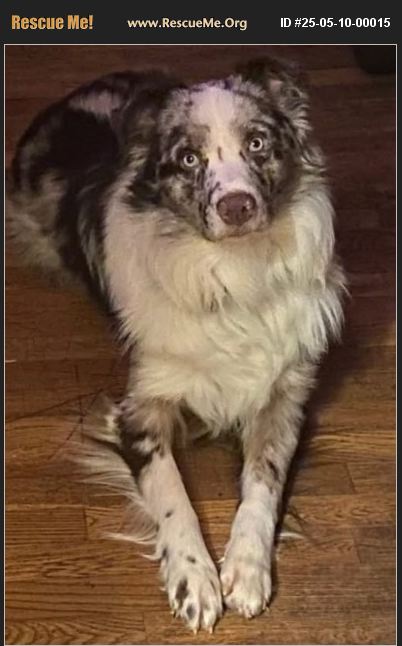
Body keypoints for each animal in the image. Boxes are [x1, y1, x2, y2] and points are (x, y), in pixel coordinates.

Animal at [7, 56, 345, 632]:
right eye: (188, 158)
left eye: (258, 143)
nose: (236, 206)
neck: (233, 273)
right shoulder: (139, 409)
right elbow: (172, 493)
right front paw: (194, 578)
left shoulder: (285, 399)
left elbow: (264, 482)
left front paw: (246, 568)